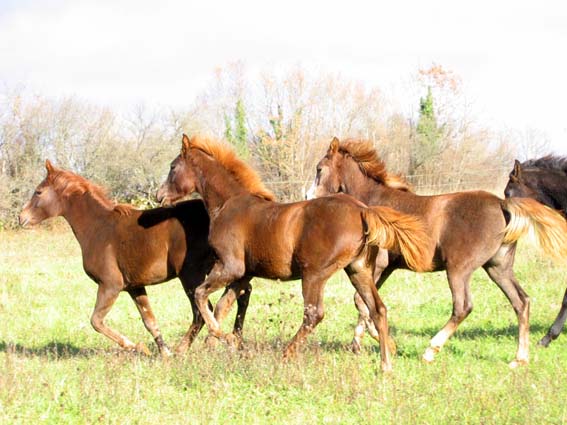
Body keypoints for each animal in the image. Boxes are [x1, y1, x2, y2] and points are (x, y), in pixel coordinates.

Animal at [19, 161, 251, 356]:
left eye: (38, 191)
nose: (21, 218)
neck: (98, 228)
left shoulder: (110, 285)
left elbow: (96, 321)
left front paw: (136, 346)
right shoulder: (134, 286)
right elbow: (149, 320)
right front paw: (163, 353)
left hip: (192, 276)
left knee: (202, 310)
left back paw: (196, 346)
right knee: (240, 294)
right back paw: (234, 340)